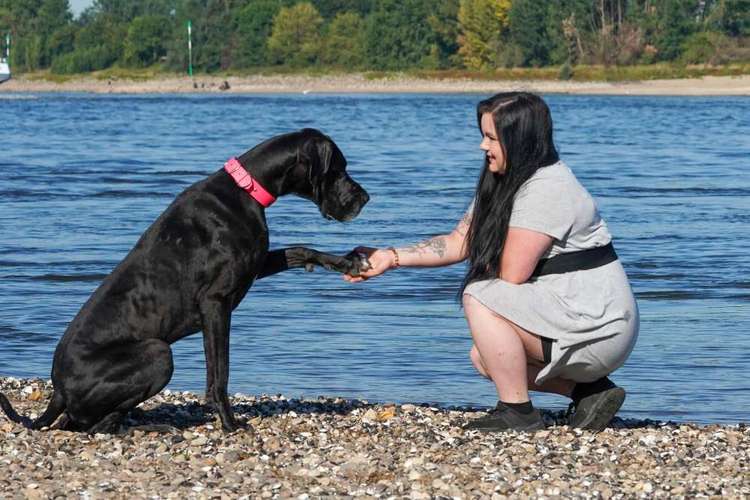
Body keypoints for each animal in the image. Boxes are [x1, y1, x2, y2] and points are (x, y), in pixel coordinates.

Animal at [0, 129, 370, 434]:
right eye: (339, 169)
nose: (364, 198)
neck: (246, 188)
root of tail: (58, 391)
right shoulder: (216, 303)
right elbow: (219, 374)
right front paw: (229, 424)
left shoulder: (254, 265)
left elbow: (300, 249)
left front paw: (348, 262)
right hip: (158, 352)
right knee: (93, 427)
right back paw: (154, 428)